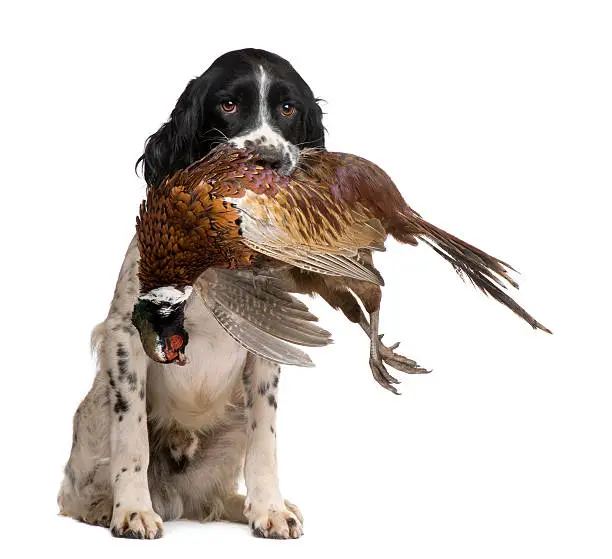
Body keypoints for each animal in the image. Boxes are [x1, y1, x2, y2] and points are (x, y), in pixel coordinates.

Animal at [58, 50, 326, 540]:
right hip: (93, 411)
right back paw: (106, 507)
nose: (266, 162)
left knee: (213, 498)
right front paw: (132, 511)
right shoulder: (126, 333)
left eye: (288, 108)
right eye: (228, 104)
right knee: (76, 492)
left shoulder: (267, 350)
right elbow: (132, 440)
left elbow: (265, 441)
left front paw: (270, 508)